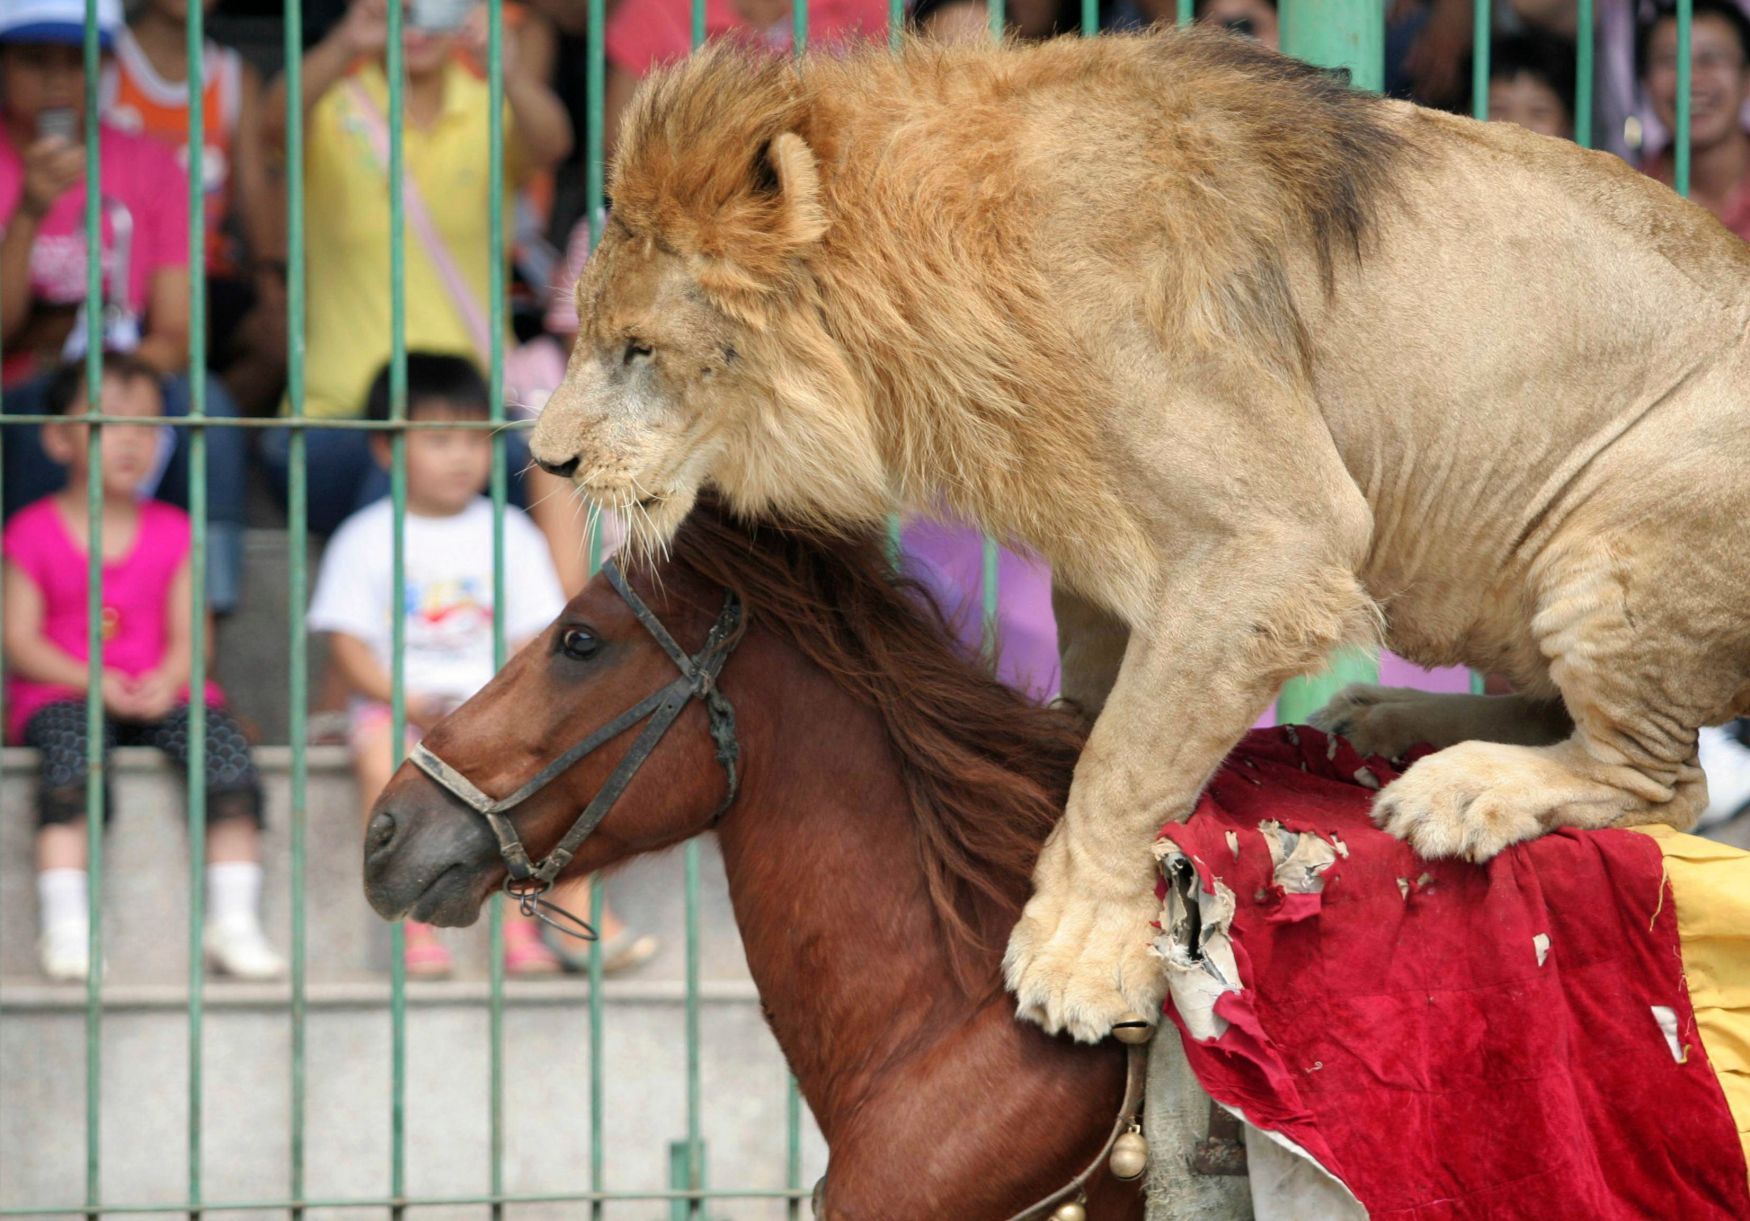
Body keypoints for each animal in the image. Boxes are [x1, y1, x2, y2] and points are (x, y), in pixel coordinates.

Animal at [528, 26, 1750, 1035]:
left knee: (1663, 784)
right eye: (587, 334)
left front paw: (1073, 950)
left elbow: (1127, 761)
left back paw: (1464, 787)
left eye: (638, 348)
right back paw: (1391, 718)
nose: (547, 460)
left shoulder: (1275, 541)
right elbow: (1100, 700)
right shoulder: (1099, 540)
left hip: (1613, 545)